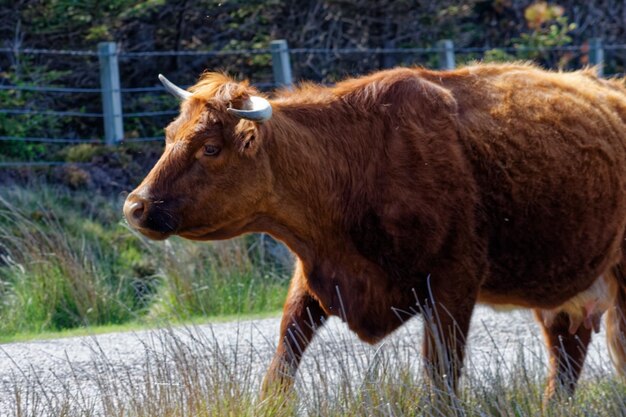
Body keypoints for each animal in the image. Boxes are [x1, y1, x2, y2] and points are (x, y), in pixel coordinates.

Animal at [123, 63, 624, 398]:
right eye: (169, 135)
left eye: (210, 147)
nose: (135, 206)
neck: (358, 159)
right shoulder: (313, 277)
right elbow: (281, 363)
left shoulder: (453, 284)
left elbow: (440, 379)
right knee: (565, 361)